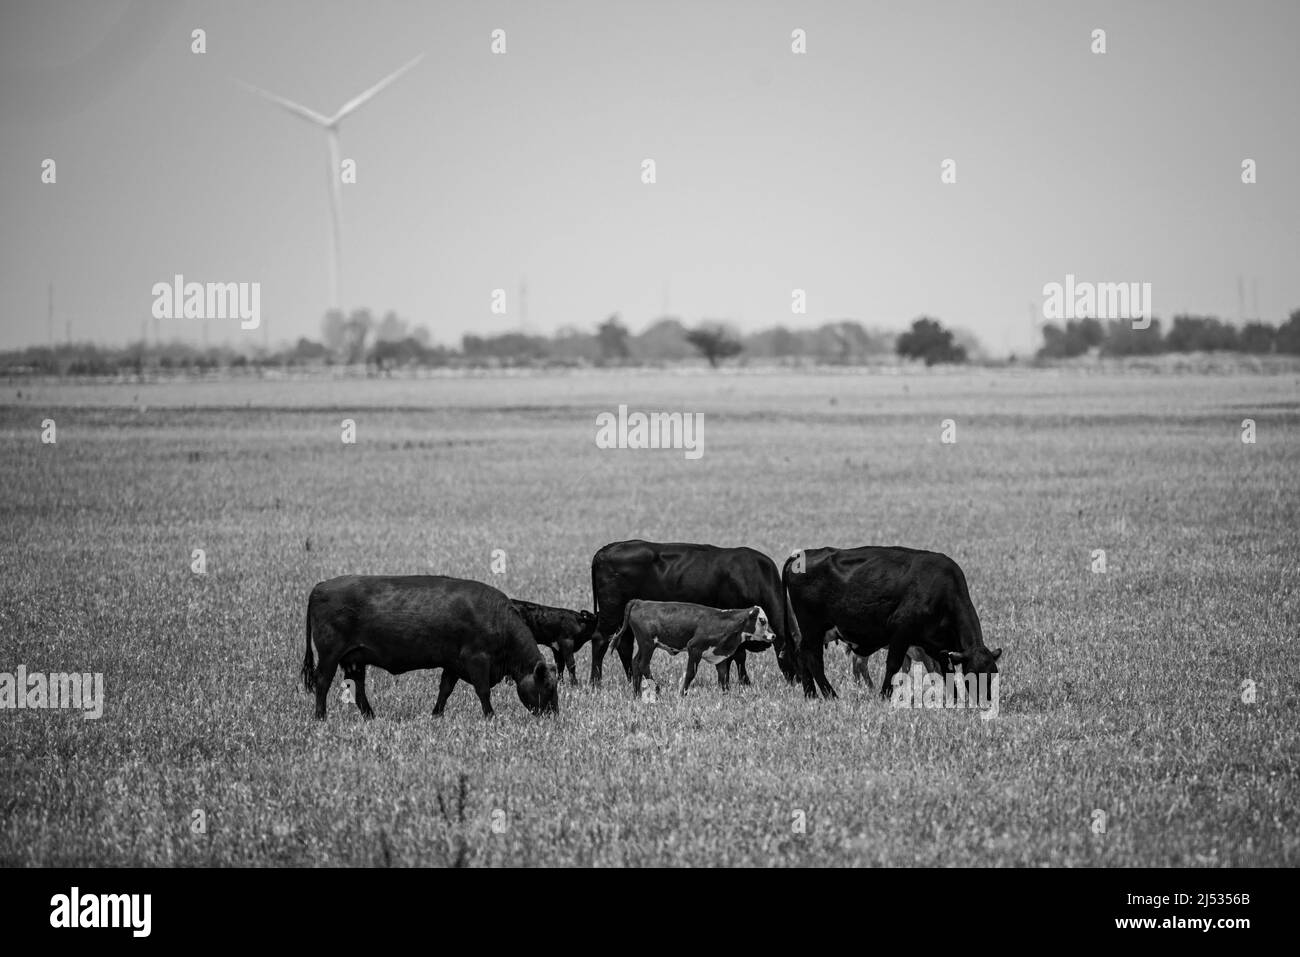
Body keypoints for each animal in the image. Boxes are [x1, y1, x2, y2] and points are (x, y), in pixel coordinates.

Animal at [302, 575, 559, 719]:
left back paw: (371, 716)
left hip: (355, 659)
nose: (554, 717)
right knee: (322, 682)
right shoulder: (477, 659)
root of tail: (320, 586)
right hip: (329, 655)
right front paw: (491, 717)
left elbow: (445, 690)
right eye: (548, 686)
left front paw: (436, 715)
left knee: (358, 689)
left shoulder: (454, 664)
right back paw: (320, 717)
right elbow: (483, 691)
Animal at [589, 539, 800, 687]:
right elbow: (739, 656)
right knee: (600, 640)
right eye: (796, 655)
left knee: (624, 646)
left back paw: (631, 679)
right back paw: (595, 682)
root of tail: (605, 550)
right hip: (611, 611)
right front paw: (745, 683)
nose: (799, 682)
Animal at [614, 599, 776, 697]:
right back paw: (657, 690)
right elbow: (690, 673)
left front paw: (725, 694)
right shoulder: (694, 648)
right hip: (648, 644)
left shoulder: (719, 656)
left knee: (636, 663)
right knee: (643, 664)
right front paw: (682, 694)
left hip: (644, 645)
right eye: (762, 620)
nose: (773, 636)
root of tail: (641, 602)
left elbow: (723, 676)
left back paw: (636, 694)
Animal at [784, 546, 1001, 700]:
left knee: (802, 655)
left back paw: (811, 695)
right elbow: (893, 665)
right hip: (813, 628)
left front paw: (953, 699)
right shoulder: (901, 632)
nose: (987, 701)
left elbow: (946, 671)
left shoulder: (937, 646)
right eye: (972, 674)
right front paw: (884, 695)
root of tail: (802, 555)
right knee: (813, 658)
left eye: (993, 674)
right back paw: (830, 695)